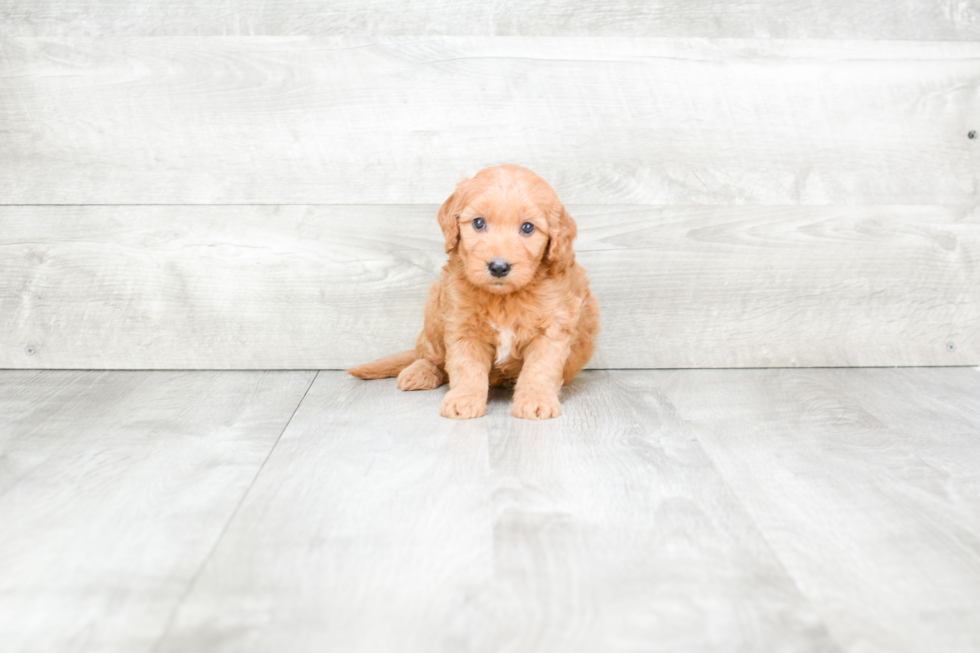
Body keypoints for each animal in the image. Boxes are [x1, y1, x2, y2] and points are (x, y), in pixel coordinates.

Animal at [348, 162, 600, 418]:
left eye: (528, 227)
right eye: (479, 223)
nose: (498, 267)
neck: (503, 298)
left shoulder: (551, 328)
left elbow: (539, 368)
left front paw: (536, 400)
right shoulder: (463, 326)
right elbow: (466, 367)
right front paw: (464, 399)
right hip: (434, 314)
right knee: (431, 357)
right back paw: (420, 372)